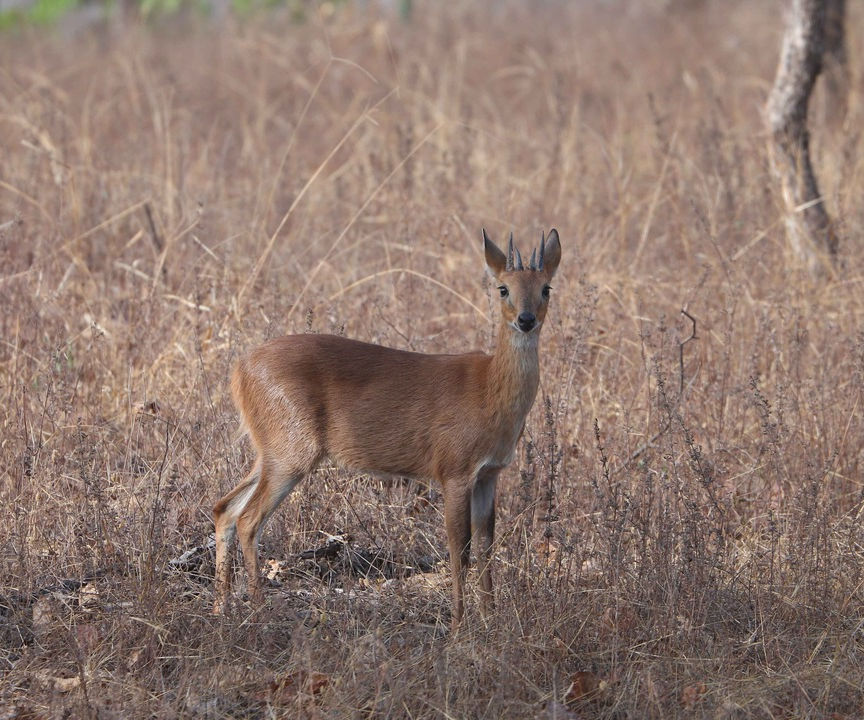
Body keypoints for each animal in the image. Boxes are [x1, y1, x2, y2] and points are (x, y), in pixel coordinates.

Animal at [212, 228, 561, 631]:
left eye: (546, 287)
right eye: (503, 288)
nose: (526, 319)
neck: (489, 389)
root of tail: (239, 370)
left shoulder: (489, 474)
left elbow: (487, 543)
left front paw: (491, 620)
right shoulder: (454, 471)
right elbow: (460, 548)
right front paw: (459, 627)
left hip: (269, 451)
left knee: (225, 508)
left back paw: (221, 608)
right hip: (291, 453)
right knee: (249, 519)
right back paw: (258, 613)